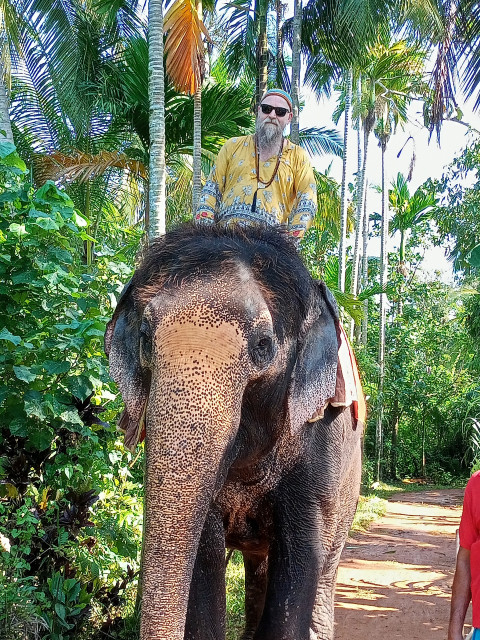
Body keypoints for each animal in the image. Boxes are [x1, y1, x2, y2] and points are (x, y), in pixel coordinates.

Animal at [105, 224, 364, 640]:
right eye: (145, 338)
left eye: (263, 345)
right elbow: (205, 558)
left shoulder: (321, 443)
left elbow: (301, 560)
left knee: (324, 569)